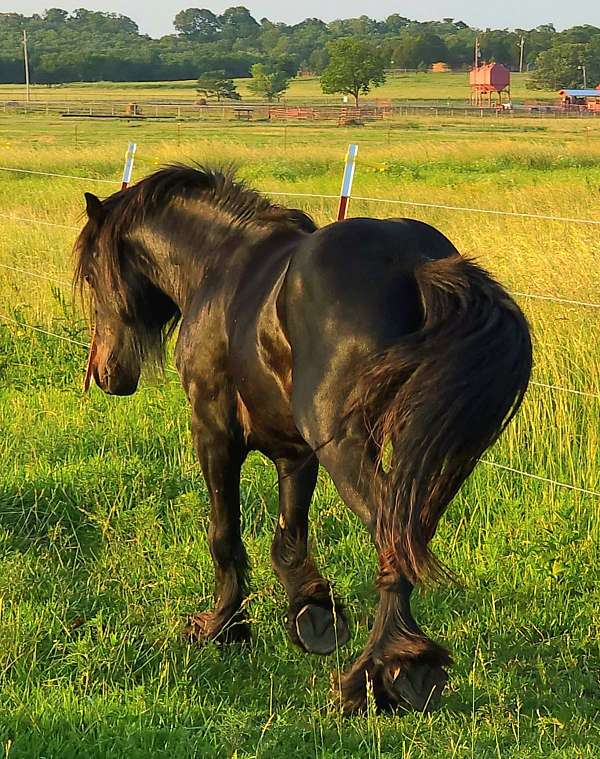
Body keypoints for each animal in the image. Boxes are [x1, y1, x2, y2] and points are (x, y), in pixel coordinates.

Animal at [74, 164, 532, 714]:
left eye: (93, 275)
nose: (105, 374)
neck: (220, 264)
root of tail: (414, 263)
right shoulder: (295, 451)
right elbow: (288, 535)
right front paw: (313, 612)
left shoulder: (213, 430)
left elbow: (224, 532)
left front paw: (222, 627)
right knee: (405, 530)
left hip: (347, 449)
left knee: (391, 537)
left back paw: (382, 674)